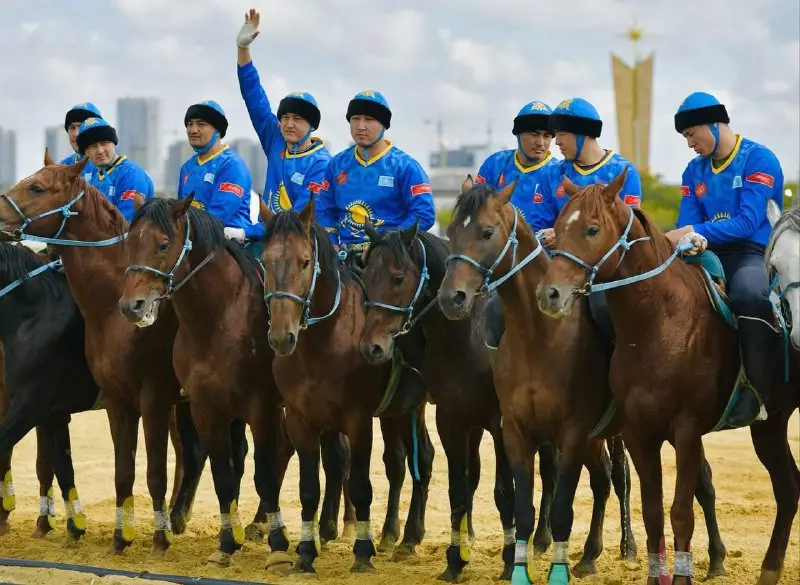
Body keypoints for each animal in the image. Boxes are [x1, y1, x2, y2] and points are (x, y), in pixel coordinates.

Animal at [258, 198, 434, 572]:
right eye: (265, 261)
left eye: (305, 262)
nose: (281, 337)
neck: (323, 342)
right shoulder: (300, 419)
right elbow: (309, 487)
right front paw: (306, 554)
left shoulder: (358, 420)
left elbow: (361, 485)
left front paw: (363, 553)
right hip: (394, 413)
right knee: (397, 463)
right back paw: (390, 534)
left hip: (414, 407)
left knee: (422, 460)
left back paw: (410, 538)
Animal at [360, 220, 560, 580]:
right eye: (366, 276)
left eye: (398, 278)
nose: (373, 348)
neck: (467, 337)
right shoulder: (452, 421)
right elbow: (459, 489)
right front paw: (455, 559)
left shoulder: (501, 424)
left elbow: (504, 492)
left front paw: (509, 560)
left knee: (558, 471)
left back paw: (548, 542)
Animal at [536, 169, 796, 584]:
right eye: (558, 229)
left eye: (592, 229)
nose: (551, 294)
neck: (660, 321)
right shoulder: (639, 433)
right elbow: (653, 511)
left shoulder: (687, 429)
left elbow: (681, 512)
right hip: (769, 427)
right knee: (789, 490)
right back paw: (769, 570)